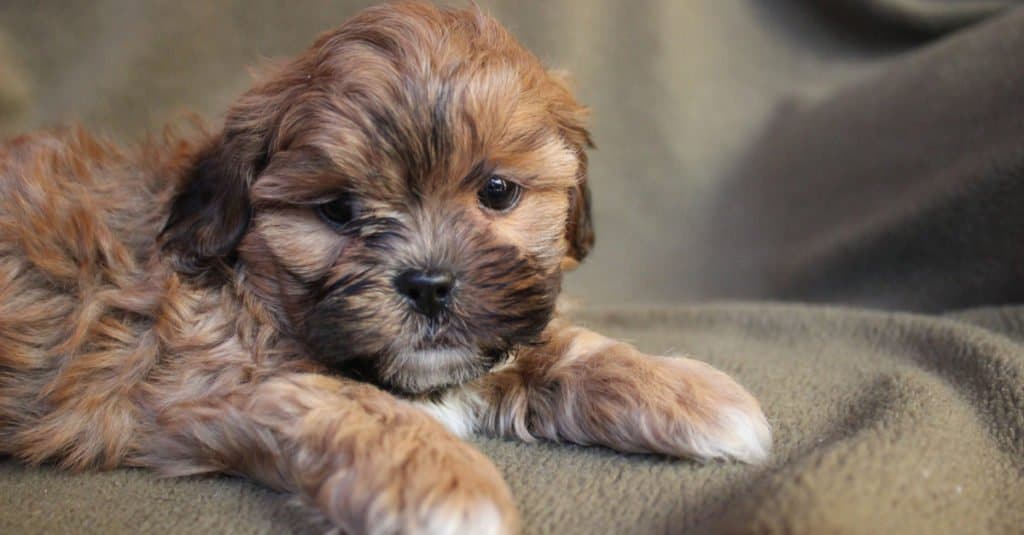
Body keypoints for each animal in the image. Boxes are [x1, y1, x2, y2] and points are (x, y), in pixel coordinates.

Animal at [0, 2, 770, 528]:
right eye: (339, 210)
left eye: (497, 192)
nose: (428, 286)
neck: (252, 281)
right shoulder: (222, 381)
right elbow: (363, 409)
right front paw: (452, 487)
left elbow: (561, 345)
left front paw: (682, 389)